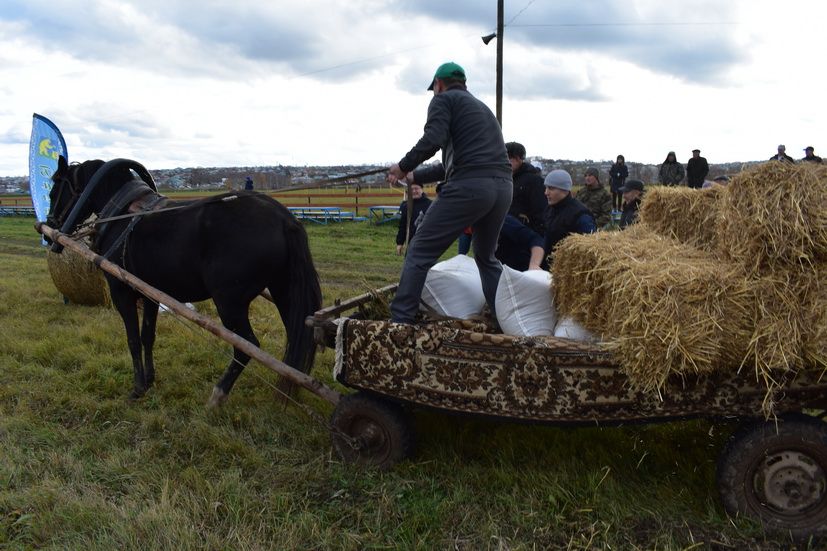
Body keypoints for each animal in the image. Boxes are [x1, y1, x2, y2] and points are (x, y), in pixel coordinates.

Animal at [43, 157, 324, 408]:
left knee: (247, 346)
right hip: (284, 292)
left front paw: (137, 388)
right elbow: (147, 336)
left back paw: (219, 394)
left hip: (229, 302)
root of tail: (285, 219)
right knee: (296, 336)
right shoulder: (150, 293)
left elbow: (132, 339)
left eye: (55, 189)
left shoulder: (122, 290)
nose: (49, 226)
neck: (122, 215)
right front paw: (150, 380)